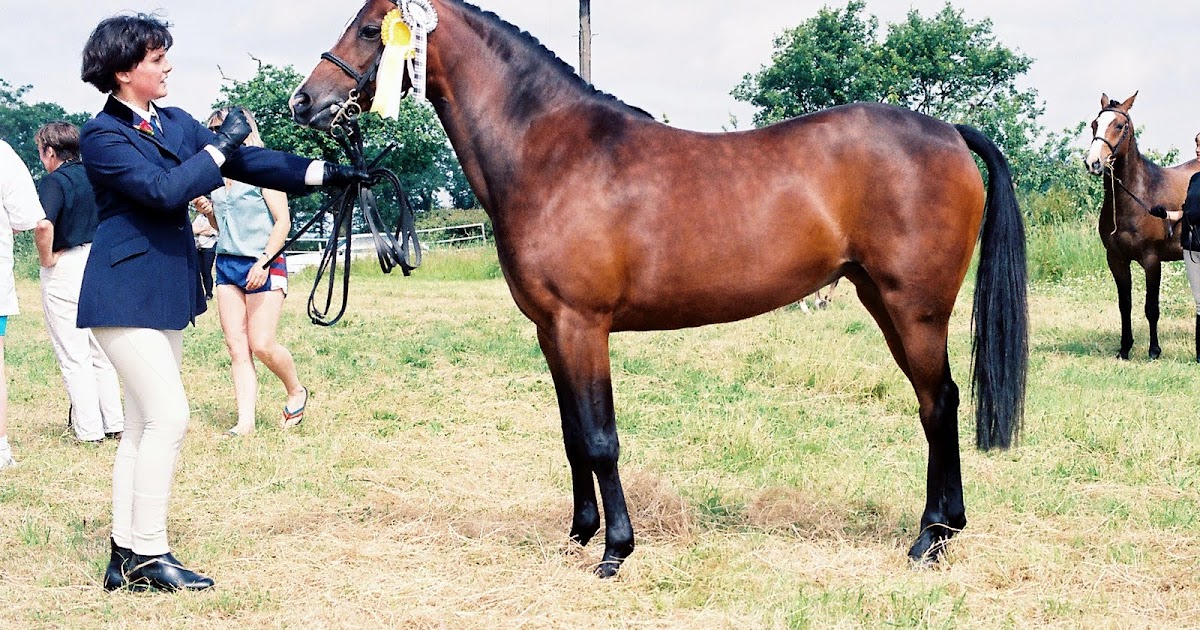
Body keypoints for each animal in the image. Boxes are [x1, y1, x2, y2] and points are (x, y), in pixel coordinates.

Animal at [290, 0, 1028, 577]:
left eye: (368, 29)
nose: (304, 101)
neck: (552, 153)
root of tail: (947, 132)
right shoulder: (550, 330)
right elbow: (571, 435)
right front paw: (579, 533)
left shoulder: (582, 325)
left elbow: (600, 438)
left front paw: (615, 550)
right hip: (880, 298)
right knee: (935, 405)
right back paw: (940, 532)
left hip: (914, 308)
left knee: (939, 404)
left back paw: (930, 539)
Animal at [1084, 92, 1200, 360]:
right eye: (1094, 124)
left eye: (1119, 125)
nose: (1093, 163)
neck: (1137, 197)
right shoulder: (1116, 259)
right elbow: (1124, 305)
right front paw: (1124, 348)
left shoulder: (1151, 260)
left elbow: (1151, 307)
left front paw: (1154, 350)